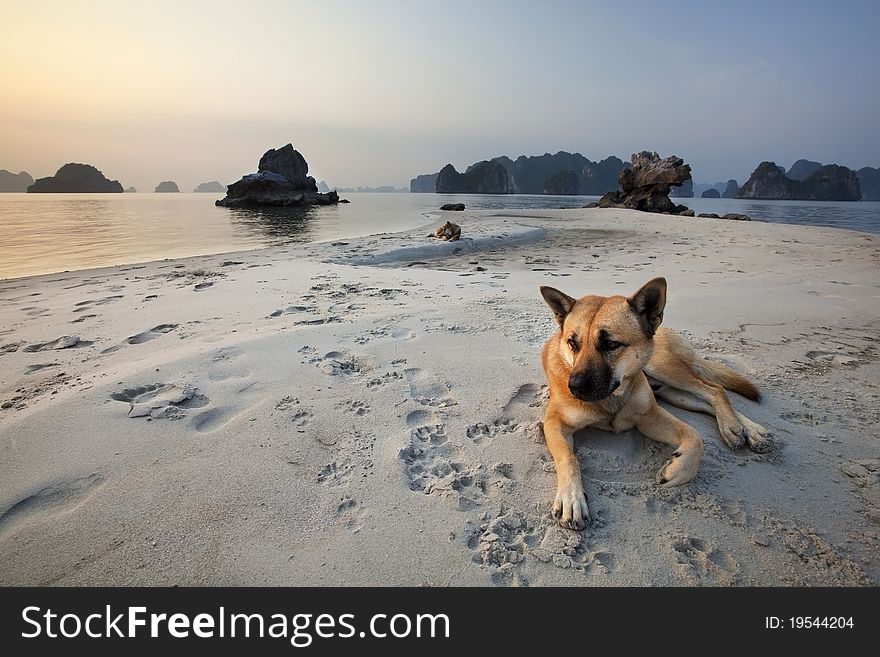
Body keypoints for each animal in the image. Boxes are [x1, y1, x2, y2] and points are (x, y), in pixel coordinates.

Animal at [540, 276, 768, 528]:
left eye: (611, 344)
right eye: (572, 343)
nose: (574, 387)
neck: (613, 397)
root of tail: (663, 328)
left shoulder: (649, 416)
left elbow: (694, 436)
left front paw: (678, 470)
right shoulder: (554, 423)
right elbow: (568, 458)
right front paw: (571, 498)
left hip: (665, 368)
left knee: (715, 389)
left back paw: (740, 428)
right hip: (672, 392)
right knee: (707, 400)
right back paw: (743, 429)